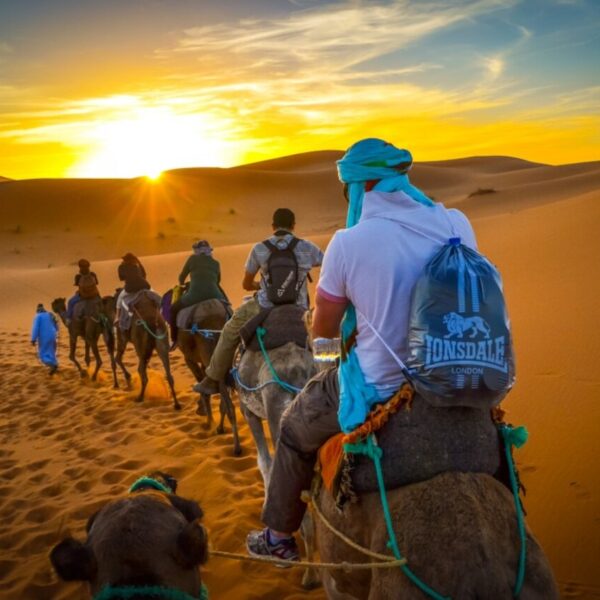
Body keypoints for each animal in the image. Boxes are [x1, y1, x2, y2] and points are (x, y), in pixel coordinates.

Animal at [176, 300, 241, 454]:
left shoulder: (189, 359)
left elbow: (202, 386)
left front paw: (208, 421)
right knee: (225, 396)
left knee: (227, 402)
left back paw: (236, 447)